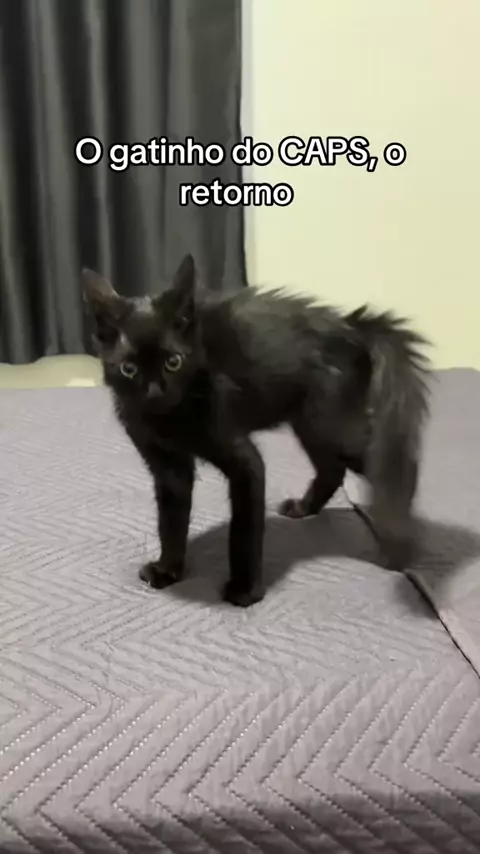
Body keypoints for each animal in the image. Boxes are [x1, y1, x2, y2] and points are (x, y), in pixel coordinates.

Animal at [82, 254, 430, 607]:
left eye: (174, 362)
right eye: (129, 369)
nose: (154, 393)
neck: (169, 419)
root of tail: (353, 325)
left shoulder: (245, 463)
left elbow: (243, 529)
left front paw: (245, 590)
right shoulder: (168, 468)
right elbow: (170, 521)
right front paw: (168, 569)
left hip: (332, 426)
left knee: (393, 465)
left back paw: (403, 544)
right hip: (311, 426)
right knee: (333, 468)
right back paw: (305, 508)